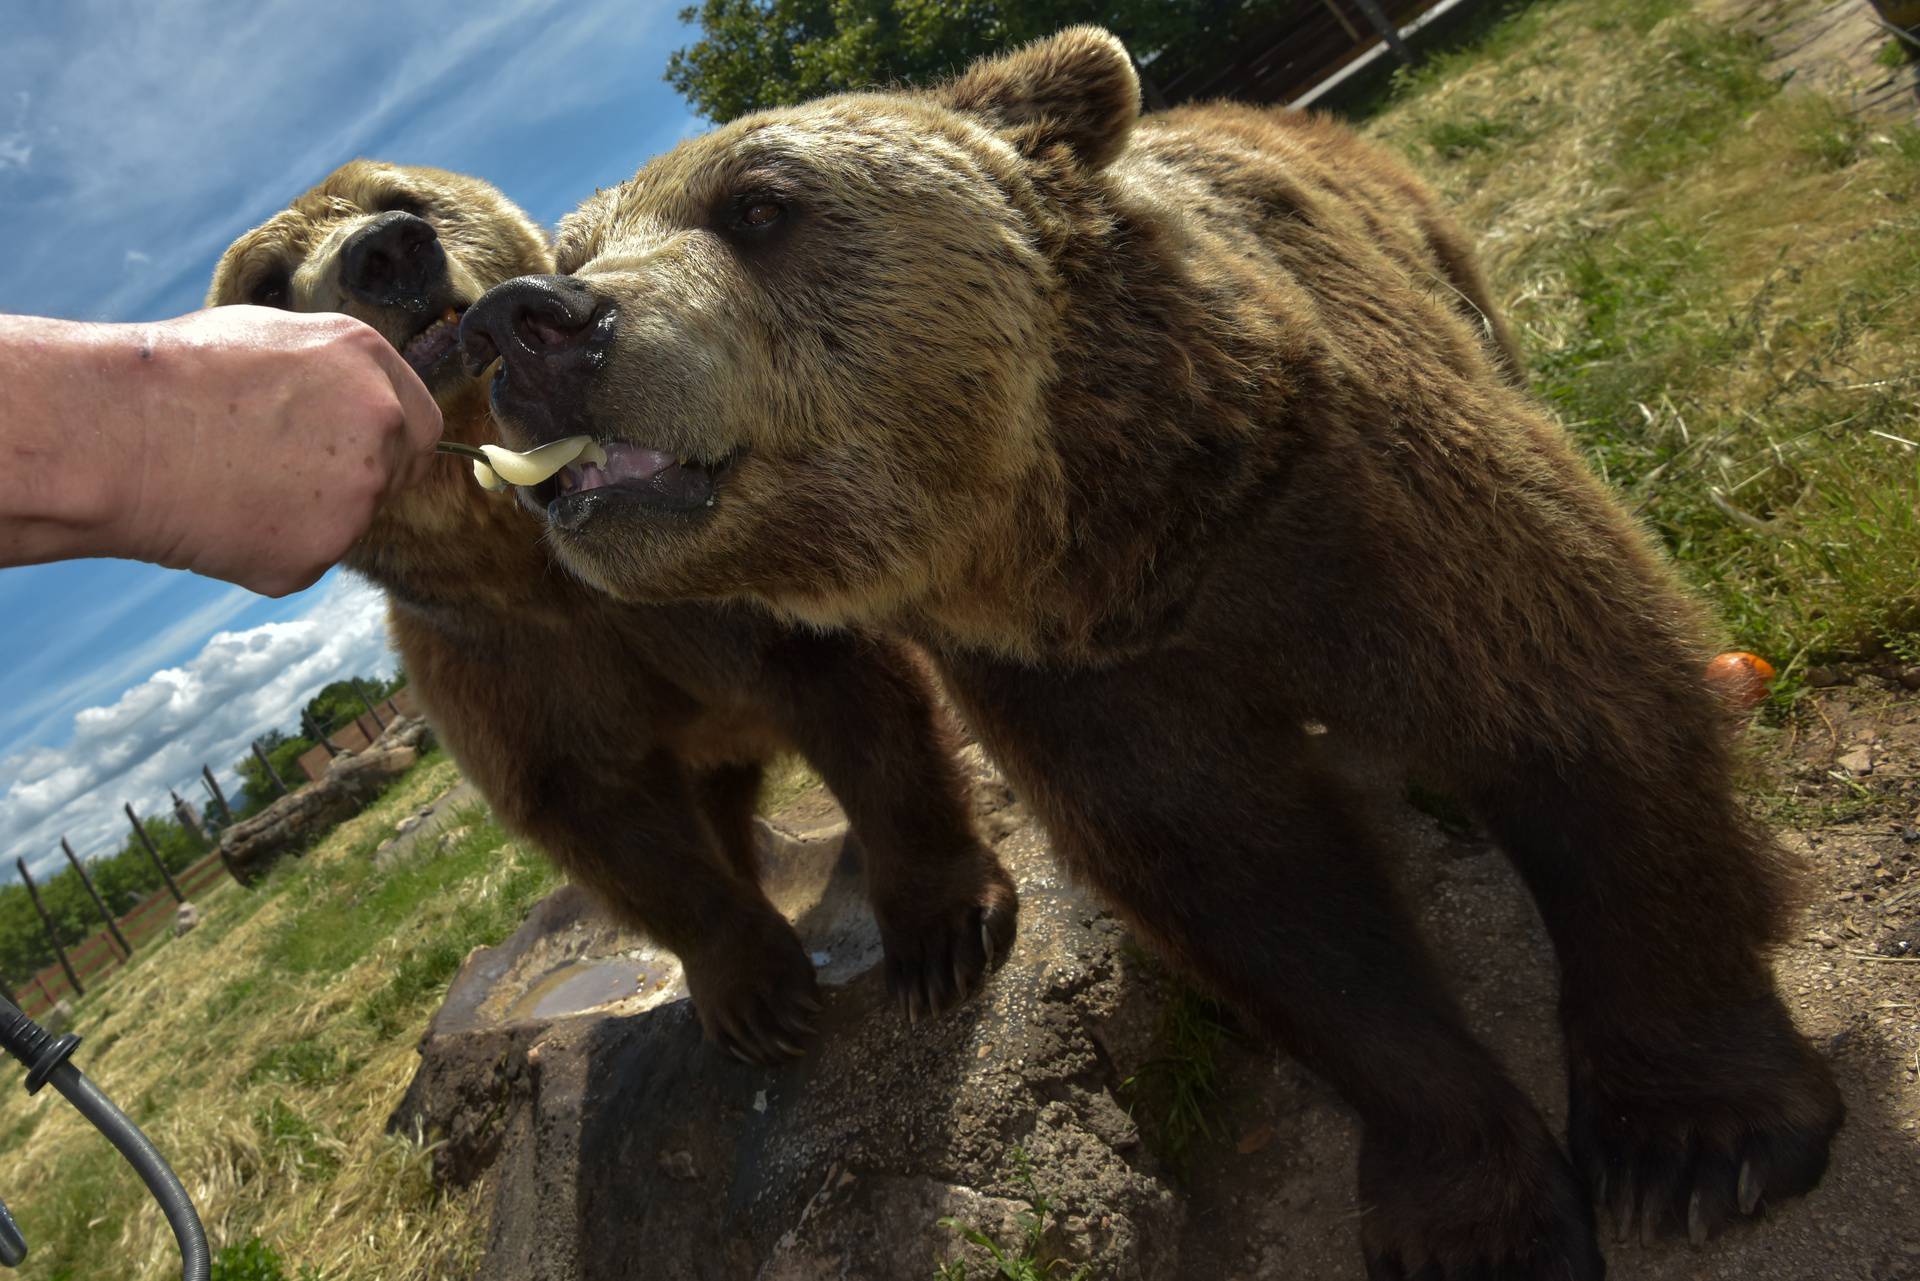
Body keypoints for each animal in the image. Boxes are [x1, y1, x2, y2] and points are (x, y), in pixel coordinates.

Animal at [208, 160, 1021, 1060]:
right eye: (266, 281)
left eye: (403, 198)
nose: (386, 251)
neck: (538, 557)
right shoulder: (502, 664)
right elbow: (614, 831)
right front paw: (757, 997)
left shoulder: (736, 567)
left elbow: (864, 705)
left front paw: (941, 934)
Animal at [460, 27, 1843, 1281]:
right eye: (571, 250)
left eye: (758, 203)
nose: (531, 324)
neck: (1116, 539)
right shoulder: (1079, 684)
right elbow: (1260, 898)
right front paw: (1472, 1216)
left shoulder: (1350, 506)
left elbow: (1570, 702)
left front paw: (1694, 1143)